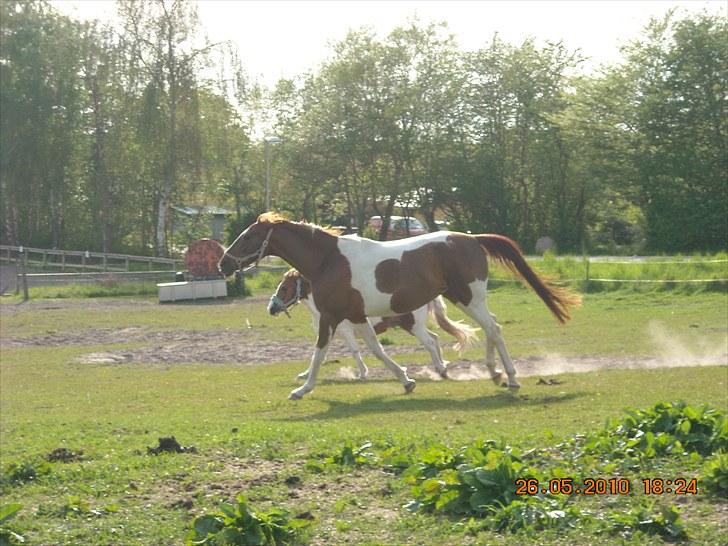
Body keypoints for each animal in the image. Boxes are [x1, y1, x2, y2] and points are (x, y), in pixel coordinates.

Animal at [266, 268, 478, 378]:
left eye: (284, 288)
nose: (271, 309)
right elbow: (318, 354)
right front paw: (304, 375)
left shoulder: (346, 332)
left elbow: (354, 351)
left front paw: (362, 373)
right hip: (413, 327)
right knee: (434, 339)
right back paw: (441, 366)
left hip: (414, 327)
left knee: (431, 342)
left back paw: (440, 370)